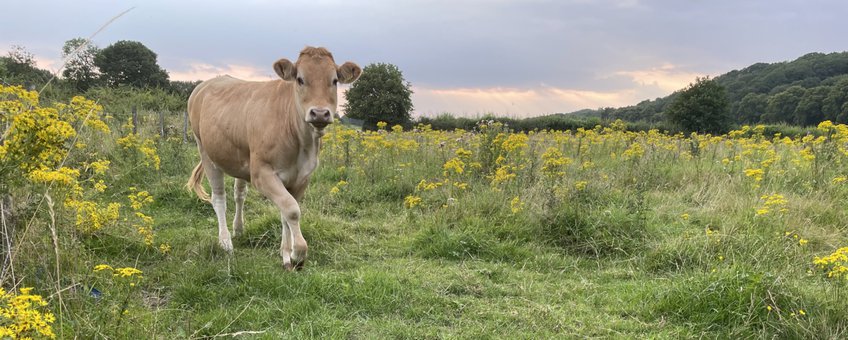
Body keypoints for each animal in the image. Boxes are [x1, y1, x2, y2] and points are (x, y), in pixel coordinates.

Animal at [186, 46, 362, 270]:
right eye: (300, 79)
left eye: (334, 80)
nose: (320, 113)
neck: (300, 143)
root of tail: (205, 84)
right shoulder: (262, 173)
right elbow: (292, 209)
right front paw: (298, 253)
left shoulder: (302, 177)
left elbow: (286, 212)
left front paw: (286, 254)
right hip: (205, 150)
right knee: (219, 198)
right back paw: (225, 242)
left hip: (238, 158)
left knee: (239, 194)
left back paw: (239, 229)